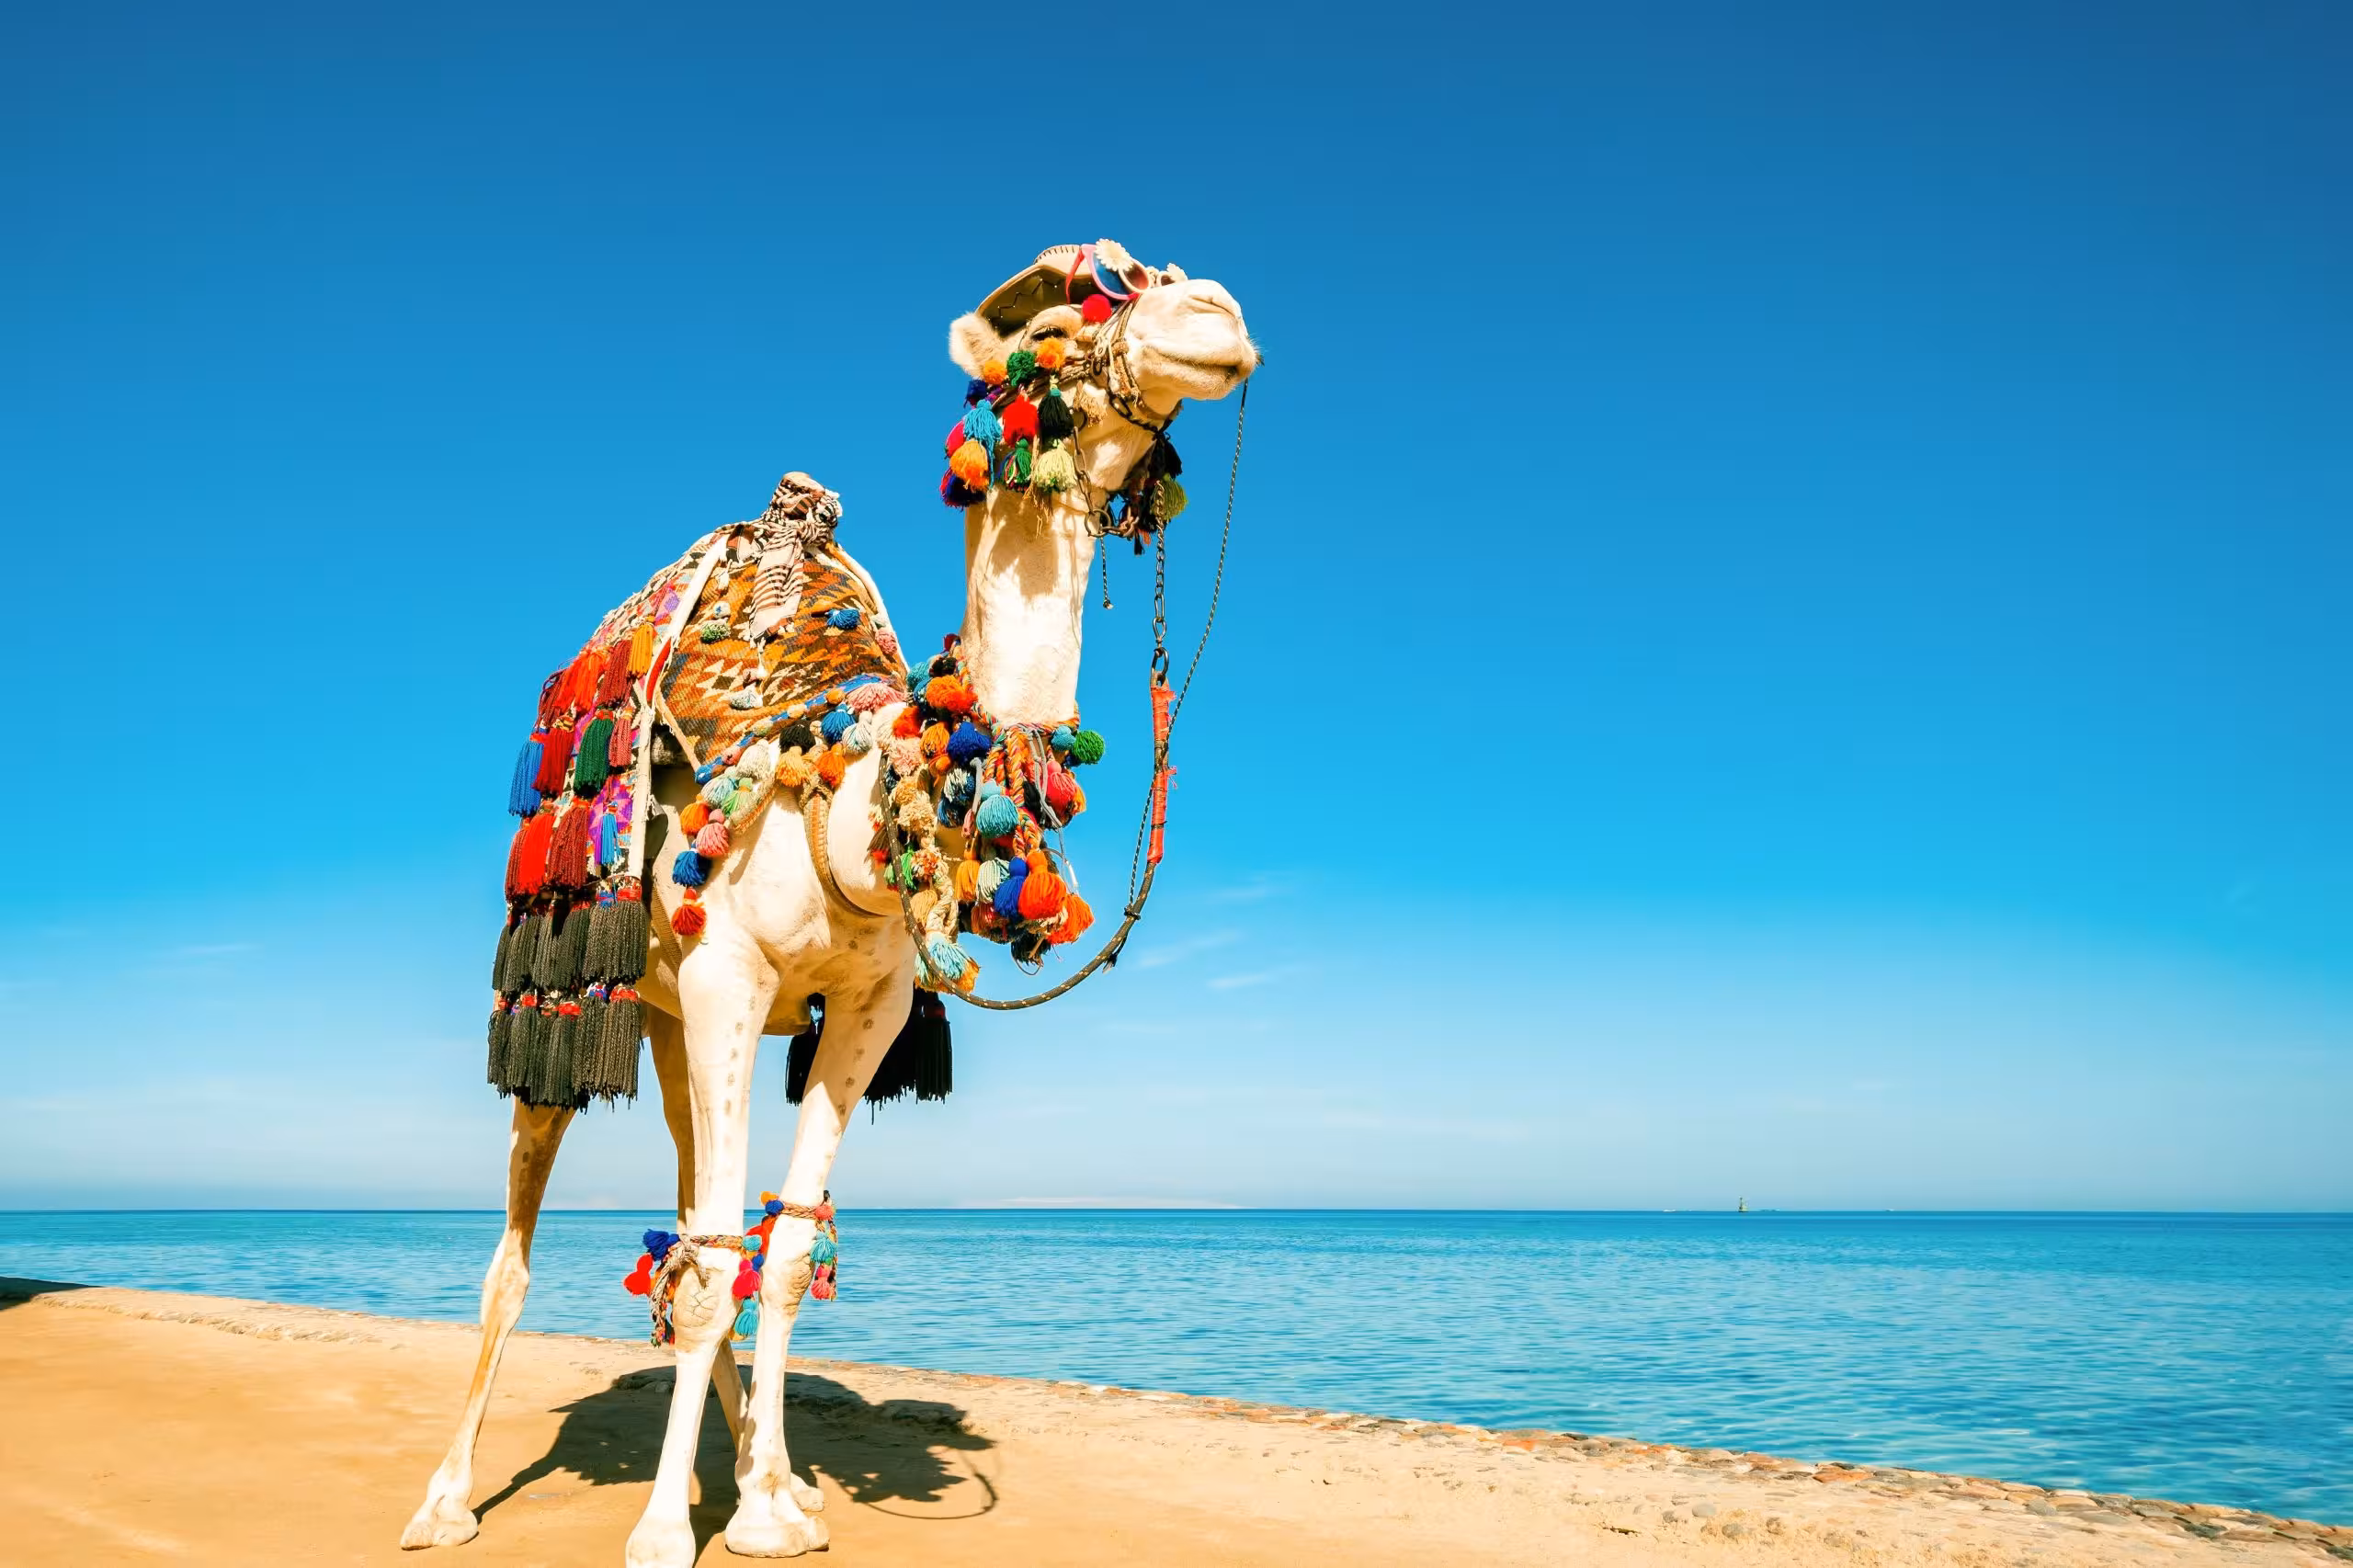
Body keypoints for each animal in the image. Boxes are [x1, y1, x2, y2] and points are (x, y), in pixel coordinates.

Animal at [401, 243, 1257, 1564]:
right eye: (1060, 326)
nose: (1213, 315)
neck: (852, 804)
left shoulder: (859, 1007)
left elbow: (789, 1246)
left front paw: (764, 1507)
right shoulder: (727, 973)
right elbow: (714, 1264)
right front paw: (666, 1529)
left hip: (675, 1018)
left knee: (699, 1206)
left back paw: (777, 1470)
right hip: (579, 984)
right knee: (522, 1241)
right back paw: (446, 1498)